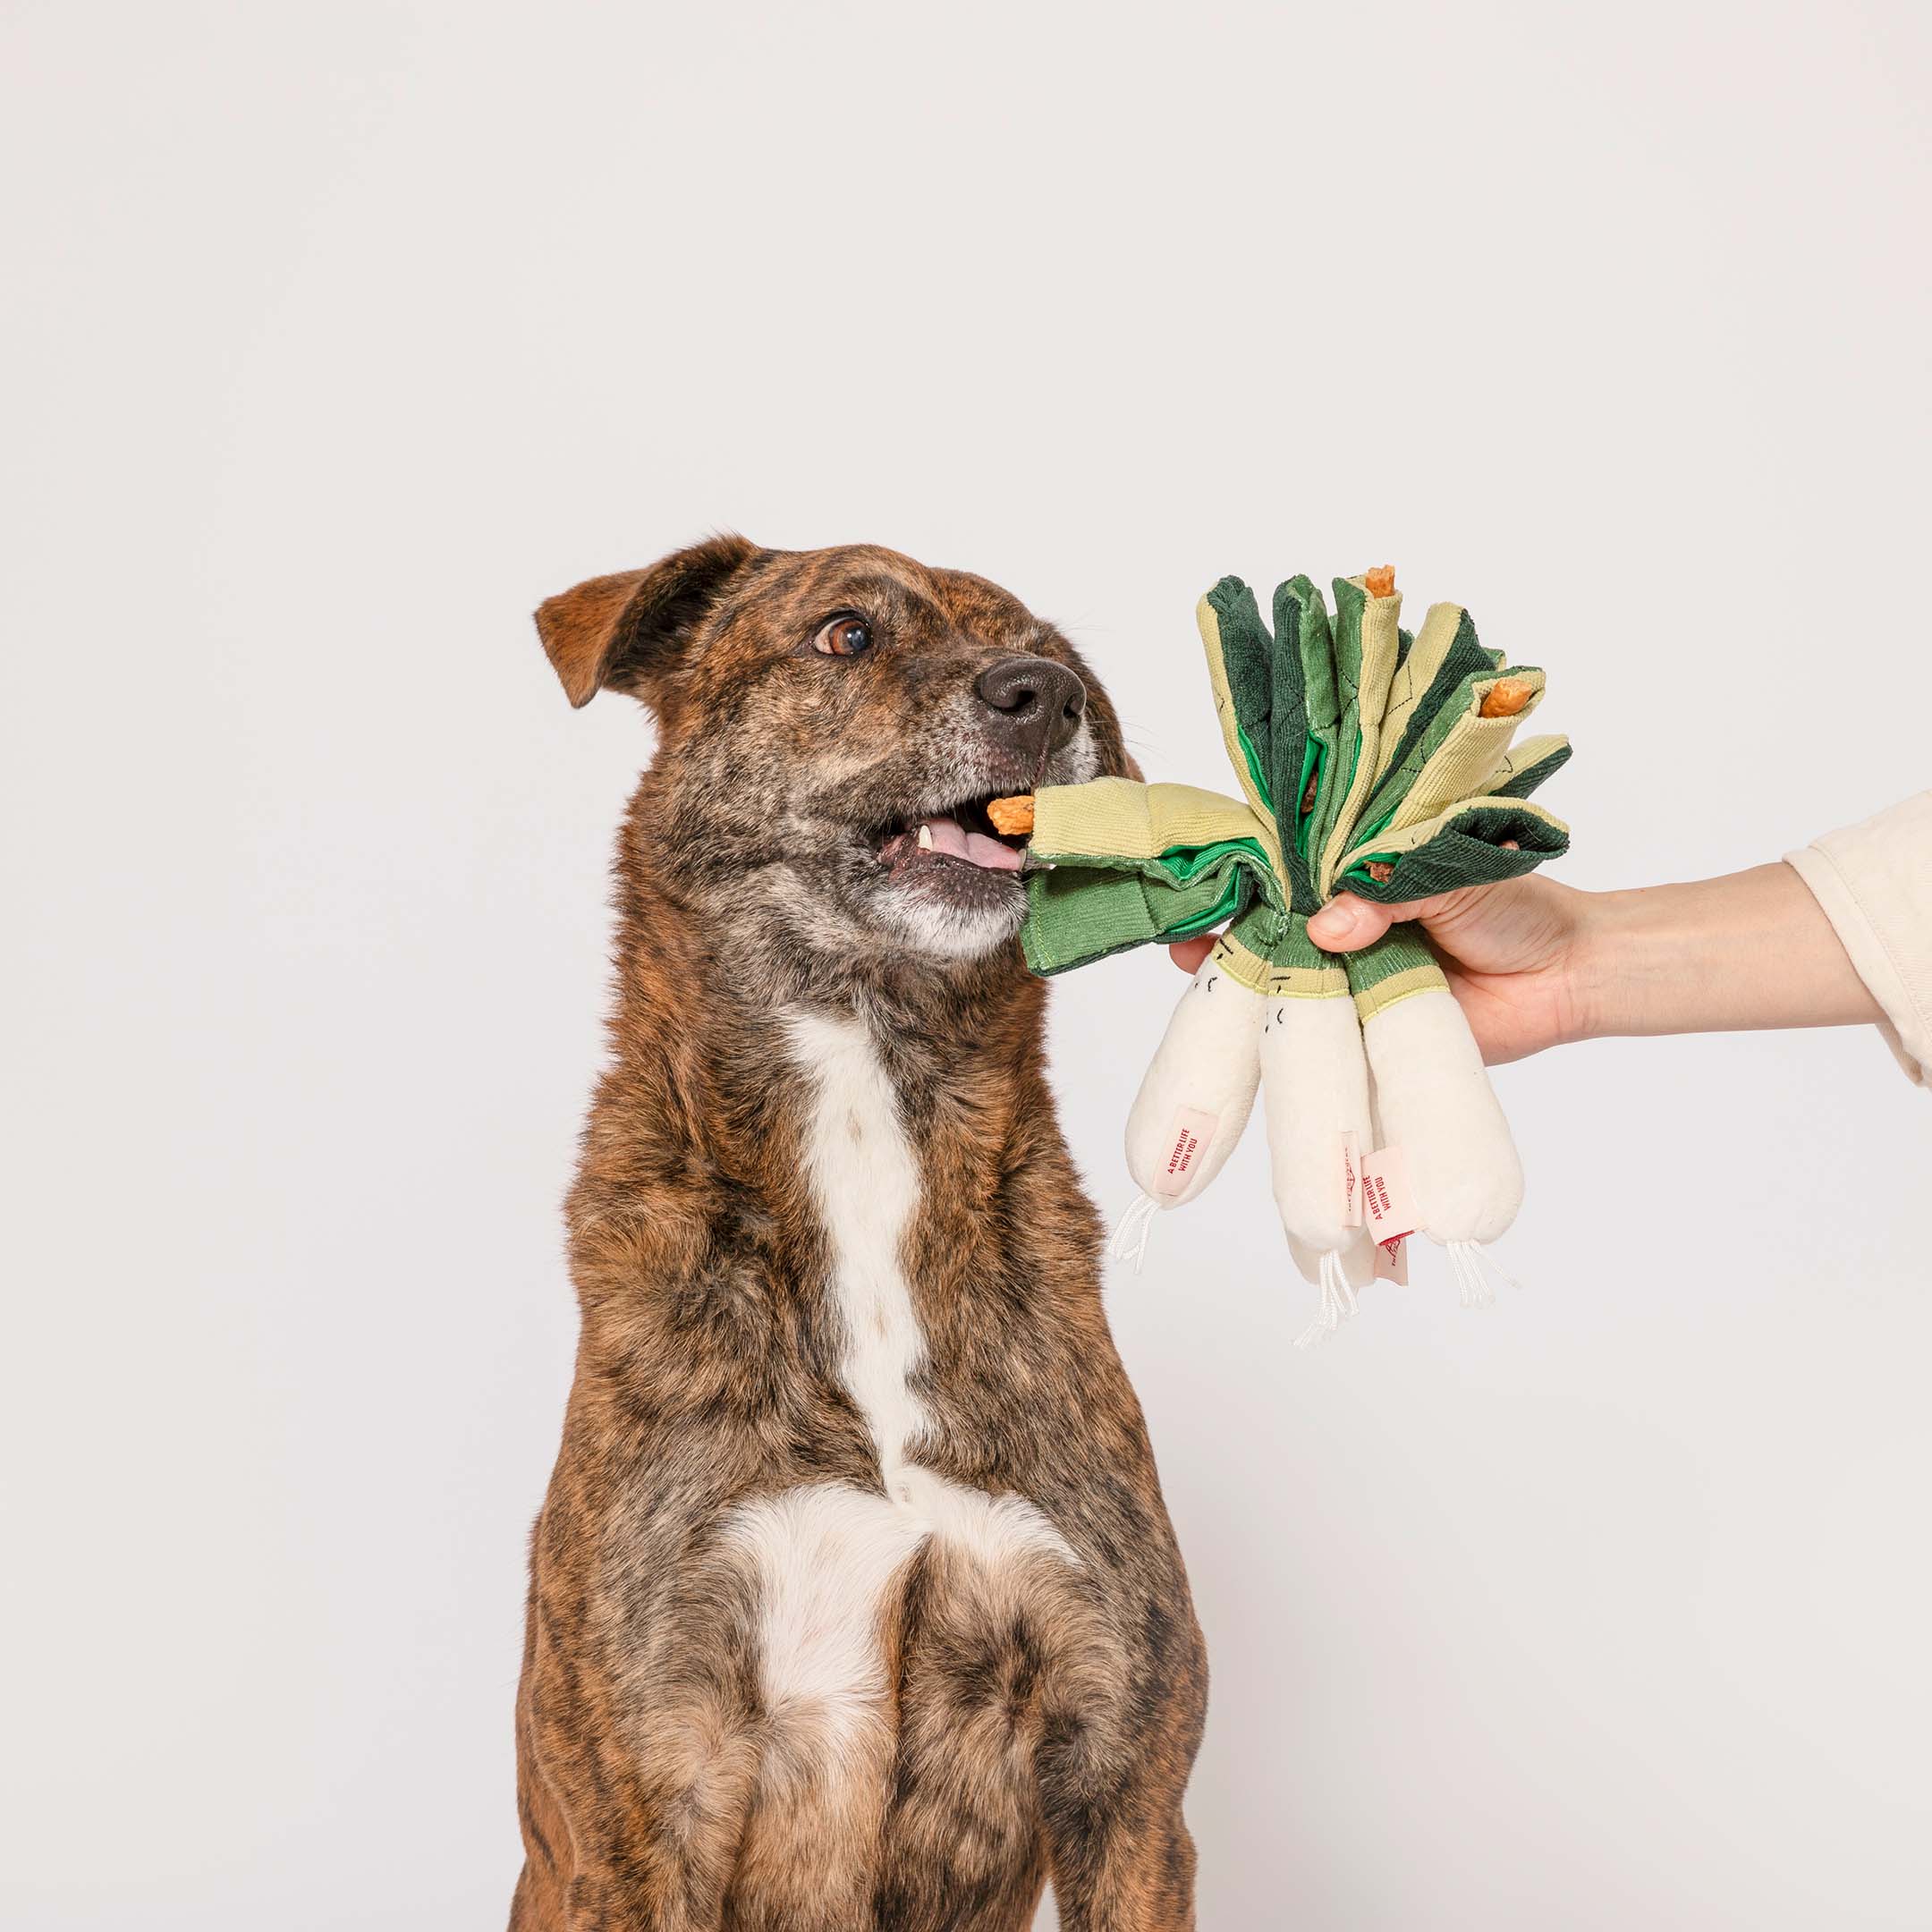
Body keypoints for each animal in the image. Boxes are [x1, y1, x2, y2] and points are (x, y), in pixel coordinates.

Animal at [513, 540, 1205, 1932]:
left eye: (1058, 655)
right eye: (846, 633)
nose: (1044, 697)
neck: (865, 1078)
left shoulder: (1126, 1783)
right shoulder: (641, 1804)